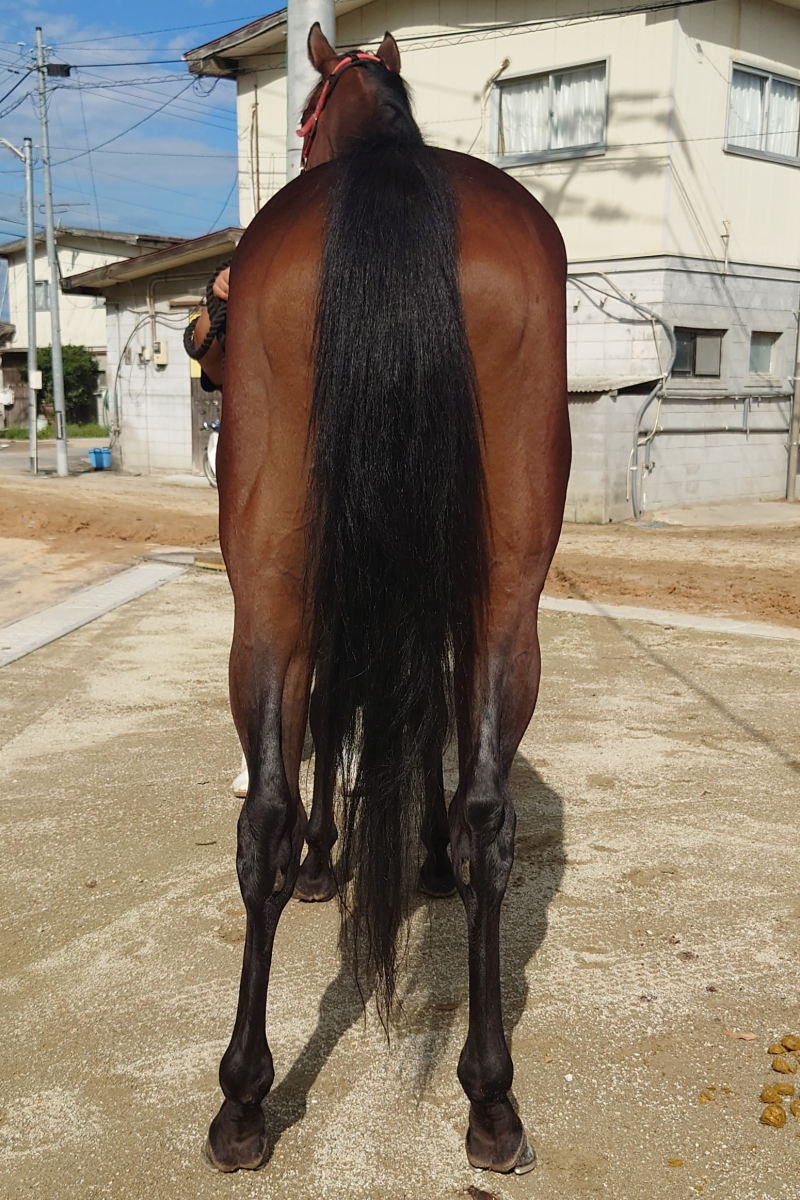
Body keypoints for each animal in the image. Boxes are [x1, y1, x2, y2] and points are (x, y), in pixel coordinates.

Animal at [205, 23, 570, 1178]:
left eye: (303, 114)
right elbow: (416, 729)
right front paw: (420, 858)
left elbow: (338, 726)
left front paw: (336, 860)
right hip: (502, 592)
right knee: (487, 814)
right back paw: (490, 1098)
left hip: (269, 594)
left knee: (266, 813)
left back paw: (241, 1099)